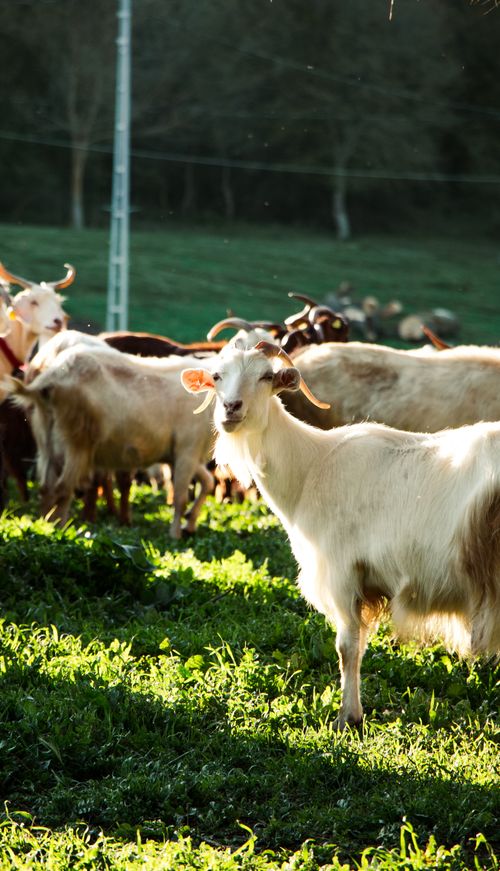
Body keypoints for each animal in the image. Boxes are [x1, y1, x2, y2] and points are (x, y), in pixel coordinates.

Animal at [181, 341, 500, 728]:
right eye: (216, 376)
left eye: (267, 376)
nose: (231, 408)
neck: (311, 468)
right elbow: (357, 645)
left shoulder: (342, 572)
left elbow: (347, 647)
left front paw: (348, 717)